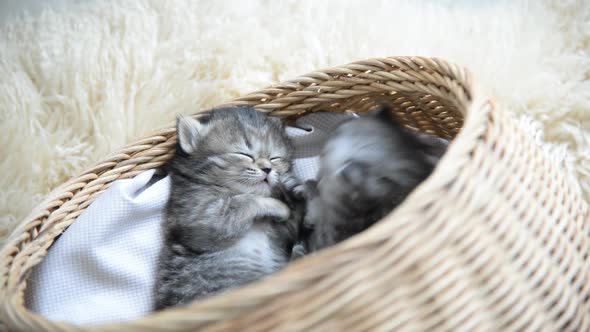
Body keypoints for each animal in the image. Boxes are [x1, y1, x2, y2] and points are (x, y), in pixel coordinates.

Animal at [155, 105, 306, 308]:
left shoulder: (279, 237)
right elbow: (244, 201)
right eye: (243, 154)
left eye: (275, 158)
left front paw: (294, 194)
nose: (267, 168)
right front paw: (278, 206)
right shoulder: (196, 214)